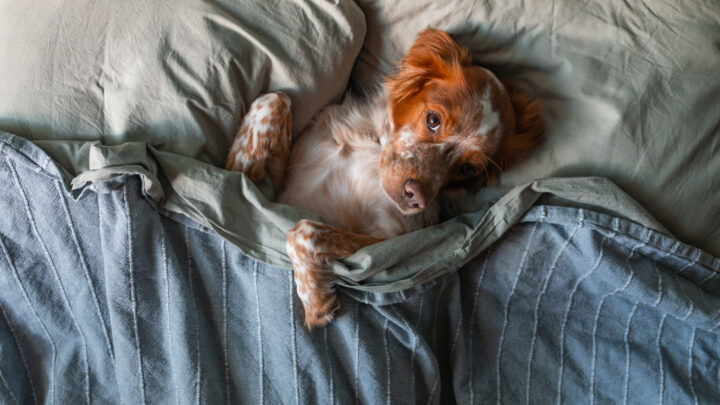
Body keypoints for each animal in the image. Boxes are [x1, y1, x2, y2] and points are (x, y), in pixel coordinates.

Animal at [225, 28, 540, 326]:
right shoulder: (285, 187)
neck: (373, 141)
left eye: (468, 169)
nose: (418, 199)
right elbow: (276, 98)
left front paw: (315, 299)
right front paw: (242, 161)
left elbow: (303, 230)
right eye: (433, 120)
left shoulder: (388, 239)